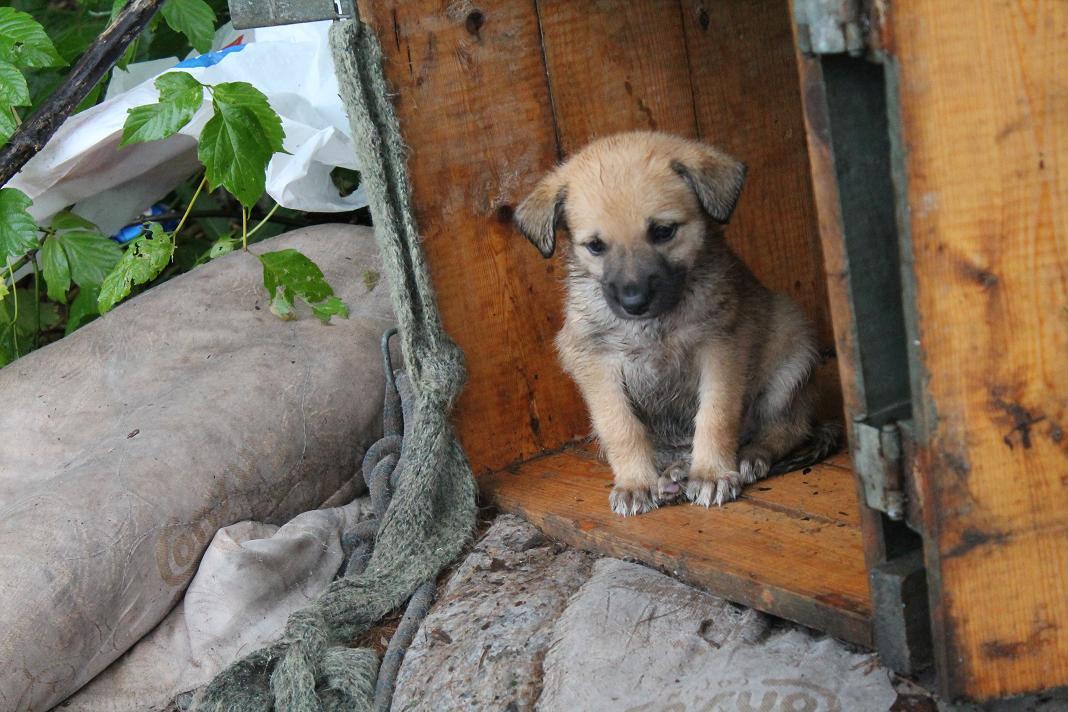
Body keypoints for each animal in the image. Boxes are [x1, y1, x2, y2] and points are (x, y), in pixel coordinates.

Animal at [512, 130, 837, 514]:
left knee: (788, 426)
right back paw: (674, 476)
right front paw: (635, 483)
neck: (655, 325)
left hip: (792, 346)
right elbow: (621, 427)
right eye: (595, 246)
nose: (634, 302)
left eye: (663, 231)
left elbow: (716, 416)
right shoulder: (594, 360)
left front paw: (712, 473)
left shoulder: (721, 345)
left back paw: (746, 457)